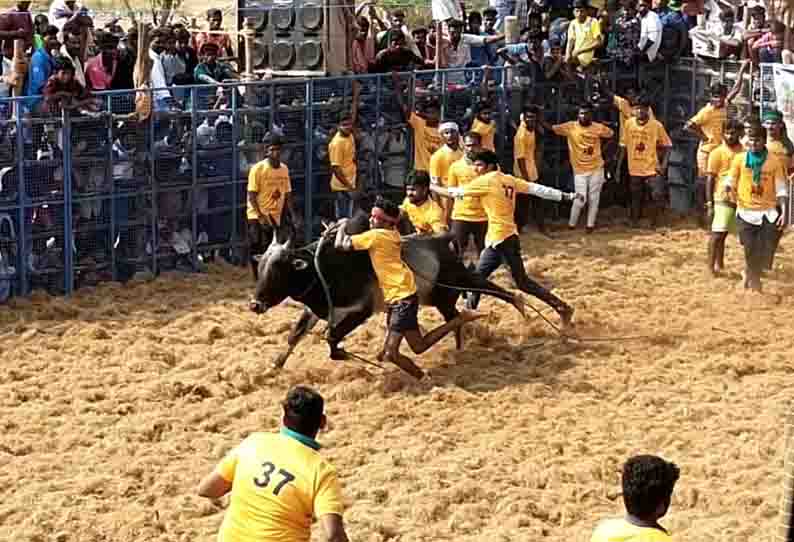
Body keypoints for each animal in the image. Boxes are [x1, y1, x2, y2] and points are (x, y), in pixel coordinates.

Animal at [246, 212, 520, 370]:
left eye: (279, 270)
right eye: (260, 267)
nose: (255, 305)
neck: (320, 269)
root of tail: (442, 240)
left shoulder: (360, 310)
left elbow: (331, 337)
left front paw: (345, 355)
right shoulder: (316, 310)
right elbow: (296, 334)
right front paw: (276, 365)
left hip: (453, 283)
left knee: (491, 290)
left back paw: (521, 309)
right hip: (439, 298)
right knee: (454, 318)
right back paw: (459, 349)